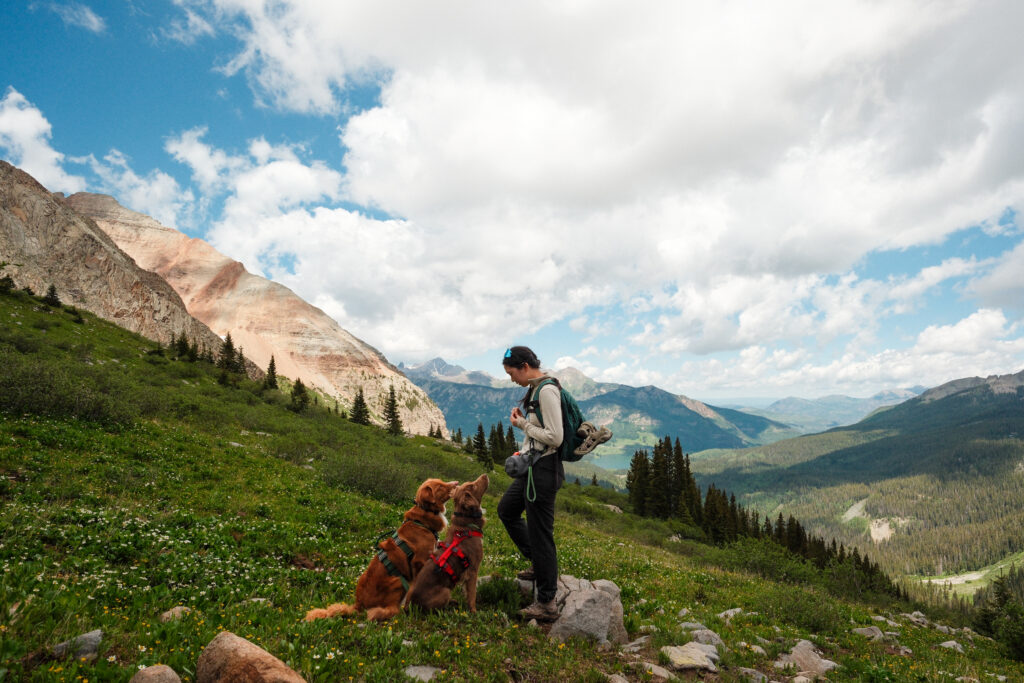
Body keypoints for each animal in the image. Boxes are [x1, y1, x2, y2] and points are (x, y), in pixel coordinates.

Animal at [301, 479, 458, 622]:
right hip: (397, 581)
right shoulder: (419, 562)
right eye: (439, 487)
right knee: (382, 612)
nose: (456, 483)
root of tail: (358, 606)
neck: (423, 518)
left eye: (443, 481)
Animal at [405, 475, 489, 614]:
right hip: (445, 591)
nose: (485, 475)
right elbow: (472, 594)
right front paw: (474, 612)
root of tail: (409, 607)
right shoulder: (473, 570)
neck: (466, 526)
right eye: (472, 486)